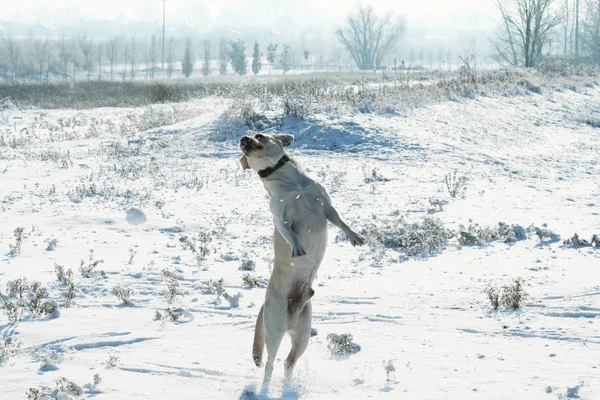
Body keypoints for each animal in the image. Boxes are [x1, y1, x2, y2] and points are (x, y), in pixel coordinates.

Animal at [239, 134, 366, 388]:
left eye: (258, 135)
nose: (242, 138)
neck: (293, 184)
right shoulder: (280, 215)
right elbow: (288, 232)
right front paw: (297, 247)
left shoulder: (325, 205)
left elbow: (341, 221)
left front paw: (354, 236)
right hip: (275, 330)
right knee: (270, 364)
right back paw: (265, 387)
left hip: (303, 334)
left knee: (289, 362)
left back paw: (288, 385)